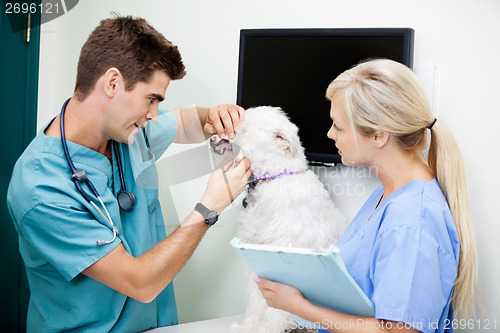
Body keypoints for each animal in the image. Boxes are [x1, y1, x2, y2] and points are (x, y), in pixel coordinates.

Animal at [212, 106, 348, 332]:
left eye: (243, 130)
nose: (212, 137)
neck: (275, 178)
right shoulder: (257, 259)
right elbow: (256, 304)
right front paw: (248, 327)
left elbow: (276, 311)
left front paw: (266, 329)